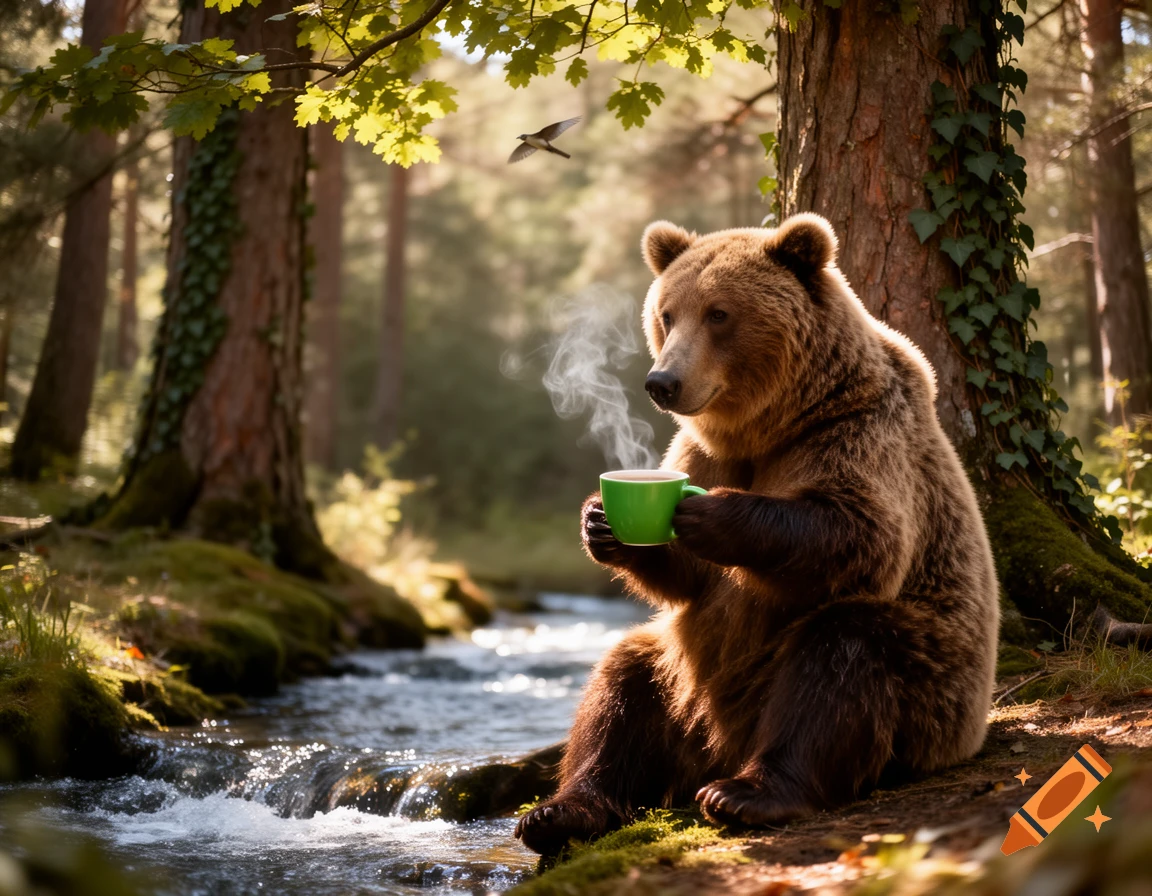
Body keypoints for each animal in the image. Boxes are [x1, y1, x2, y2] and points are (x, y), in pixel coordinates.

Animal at [514, 213, 1000, 855]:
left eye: (718, 313)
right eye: (667, 313)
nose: (663, 382)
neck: (772, 426)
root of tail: (721, 744)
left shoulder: (858, 431)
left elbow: (861, 533)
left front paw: (711, 517)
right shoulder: (703, 448)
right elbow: (687, 583)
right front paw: (600, 521)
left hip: (930, 685)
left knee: (843, 650)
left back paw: (747, 793)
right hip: (679, 681)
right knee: (621, 684)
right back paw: (562, 811)